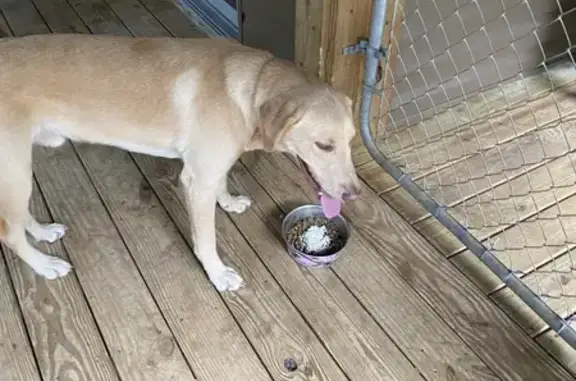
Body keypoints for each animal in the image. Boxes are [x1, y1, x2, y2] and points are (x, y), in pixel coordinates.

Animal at [0, 35, 360, 290]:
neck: (254, 87)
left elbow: (223, 182)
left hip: (17, 171)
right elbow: (206, 240)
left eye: (351, 140)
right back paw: (44, 265)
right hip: (16, 171)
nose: (354, 194)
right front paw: (218, 274)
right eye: (324, 145)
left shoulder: (212, 168)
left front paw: (229, 201)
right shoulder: (197, 181)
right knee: (9, 233)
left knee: (17, 218)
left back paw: (43, 232)